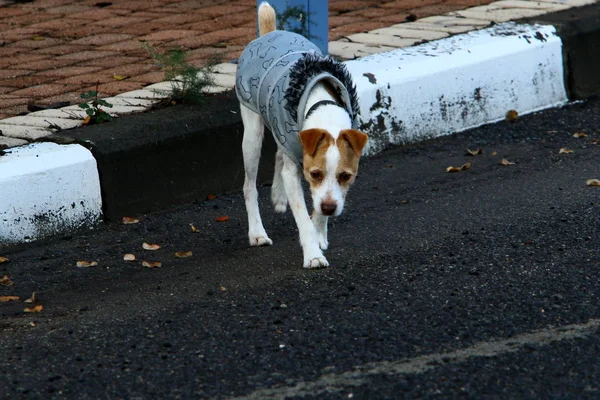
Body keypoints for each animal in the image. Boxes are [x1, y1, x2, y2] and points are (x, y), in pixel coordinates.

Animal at [233, 2, 366, 268]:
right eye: (314, 174)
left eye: (346, 176)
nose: (329, 208)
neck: (323, 109)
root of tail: (269, 33)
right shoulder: (296, 174)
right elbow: (303, 217)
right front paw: (313, 253)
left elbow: (316, 211)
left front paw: (320, 234)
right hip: (252, 133)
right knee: (249, 185)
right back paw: (257, 233)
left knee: (279, 154)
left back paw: (278, 195)